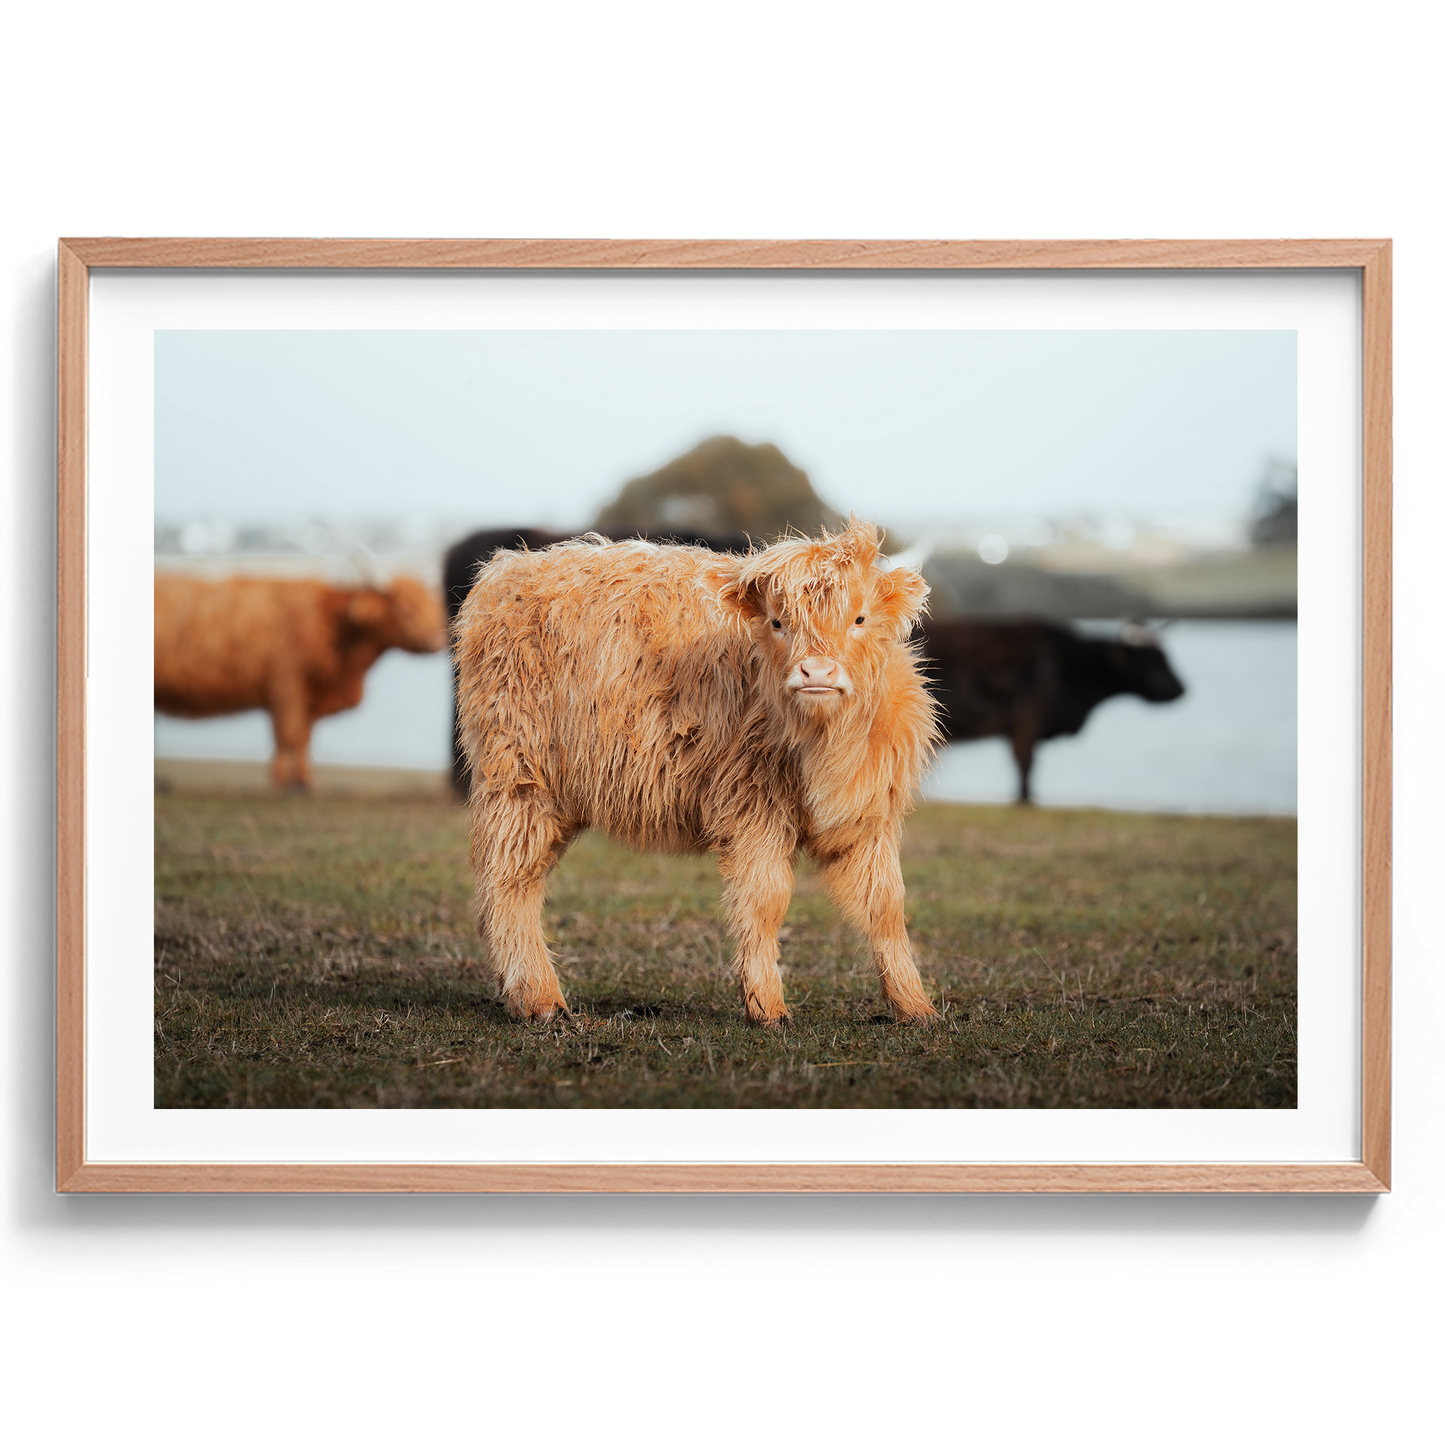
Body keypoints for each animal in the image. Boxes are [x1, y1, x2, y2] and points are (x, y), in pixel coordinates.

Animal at [155, 573, 448, 791]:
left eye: (431, 606)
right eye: (405, 609)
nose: (435, 642)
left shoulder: (305, 695)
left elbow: (304, 737)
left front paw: (303, 780)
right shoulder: (286, 686)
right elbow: (289, 735)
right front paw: (285, 783)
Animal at [915, 618, 1185, 804]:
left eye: (1165, 657)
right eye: (1153, 660)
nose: (1181, 688)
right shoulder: (1028, 722)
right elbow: (1026, 765)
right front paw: (1024, 800)